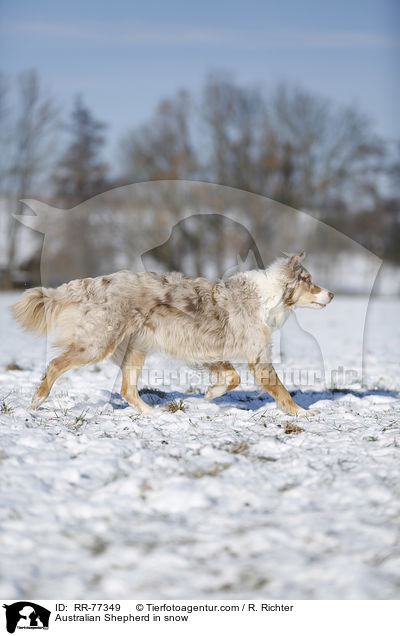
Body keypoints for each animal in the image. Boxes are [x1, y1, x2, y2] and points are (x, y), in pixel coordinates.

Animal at [10, 251, 332, 414]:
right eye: (309, 281)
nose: (330, 294)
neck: (270, 296)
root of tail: (96, 282)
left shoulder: (209, 351)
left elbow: (232, 378)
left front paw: (210, 394)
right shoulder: (257, 356)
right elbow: (281, 389)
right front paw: (303, 413)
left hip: (136, 348)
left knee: (127, 390)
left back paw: (152, 415)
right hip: (97, 344)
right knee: (54, 364)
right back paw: (37, 401)